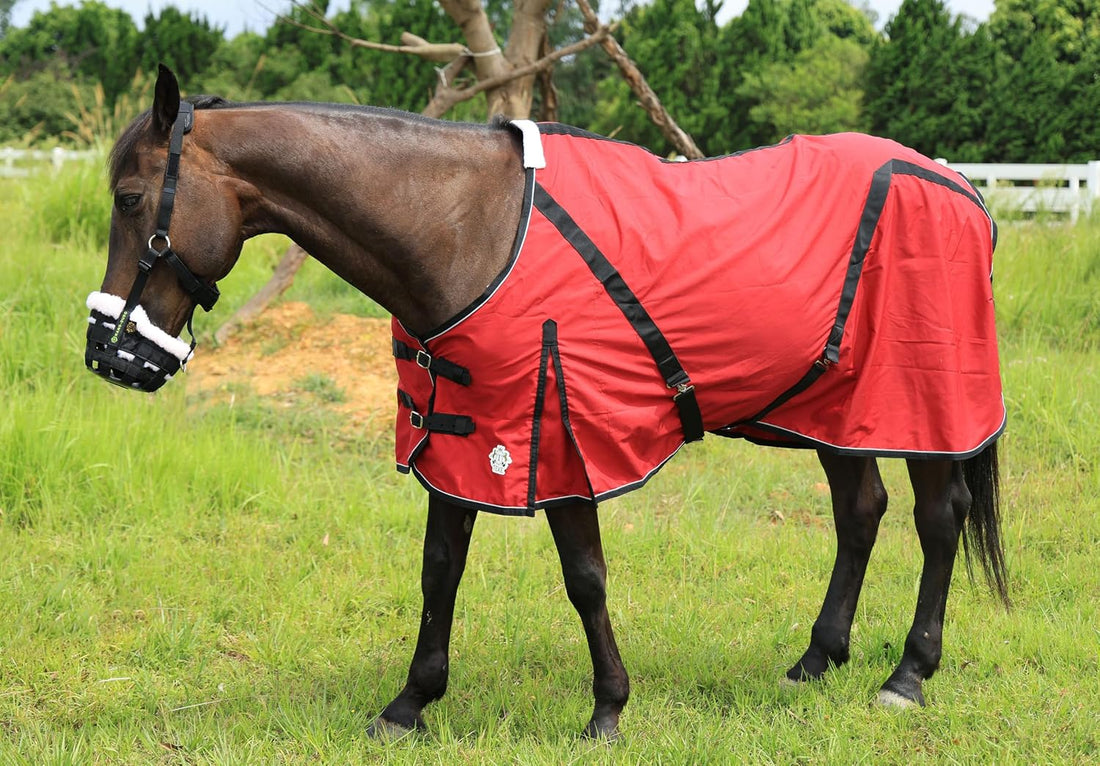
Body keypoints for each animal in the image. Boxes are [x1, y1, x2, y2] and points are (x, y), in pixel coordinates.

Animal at [85, 65, 1008, 740]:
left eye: (129, 199)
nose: (110, 354)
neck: (468, 227)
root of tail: (960, 186)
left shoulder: (560, 436)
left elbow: (584, 578)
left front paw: (607, 709)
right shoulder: (459, 437)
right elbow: (440, 569)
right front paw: (410, 704)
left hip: (920, 404)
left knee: (938, 519)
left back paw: (907, 675)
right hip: (836, 409)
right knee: (861, 512)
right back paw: (817, 661)